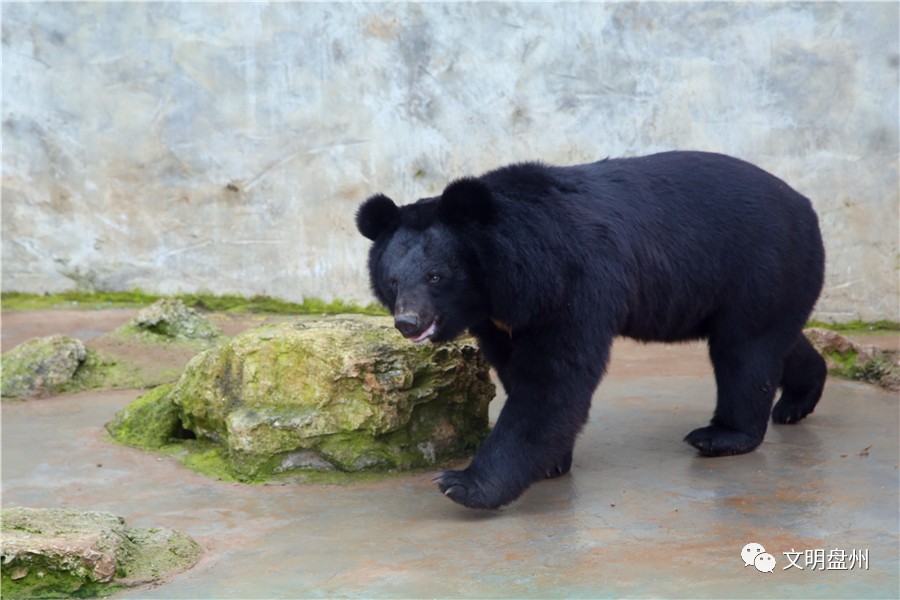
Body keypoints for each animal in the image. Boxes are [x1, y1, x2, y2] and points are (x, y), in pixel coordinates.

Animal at [356, 152, 828, 508]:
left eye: (436, 276)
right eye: (393, 281)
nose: (407, 322)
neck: (499, 280)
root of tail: (805, 204)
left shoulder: (571, 282)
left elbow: (554, 378)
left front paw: (464, 484)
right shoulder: (500, 317)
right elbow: (518, 371)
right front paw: (551, 463)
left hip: (759, 264)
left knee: (745, 349)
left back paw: (722, 435)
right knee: (776, 340)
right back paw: (797, 401)